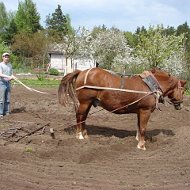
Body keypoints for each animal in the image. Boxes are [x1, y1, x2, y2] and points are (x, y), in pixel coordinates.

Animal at [58, 68, 186, 150]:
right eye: (183, 90)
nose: (180, 105)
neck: (150, 85)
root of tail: (82, 72)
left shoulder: (140, 111)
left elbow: (139, 126)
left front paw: (138, 139)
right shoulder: (145, 110)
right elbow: (143, 128)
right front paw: (142, 145)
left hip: (88, 103)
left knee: (84, 118)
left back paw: (85, 135)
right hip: (85, 102)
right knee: (80, 117)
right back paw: (79, 135)